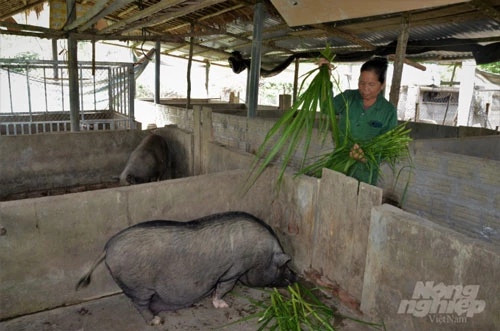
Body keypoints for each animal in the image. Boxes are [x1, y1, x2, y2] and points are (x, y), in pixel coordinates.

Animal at [74, 211, 296, 326]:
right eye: (284, 266)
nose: (294, 276)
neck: (261, 255)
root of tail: (107, 248)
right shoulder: (233, 270)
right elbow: (224, 287)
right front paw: (222, 305)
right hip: (139, 286)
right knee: (139, 304)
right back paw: (155, 321)